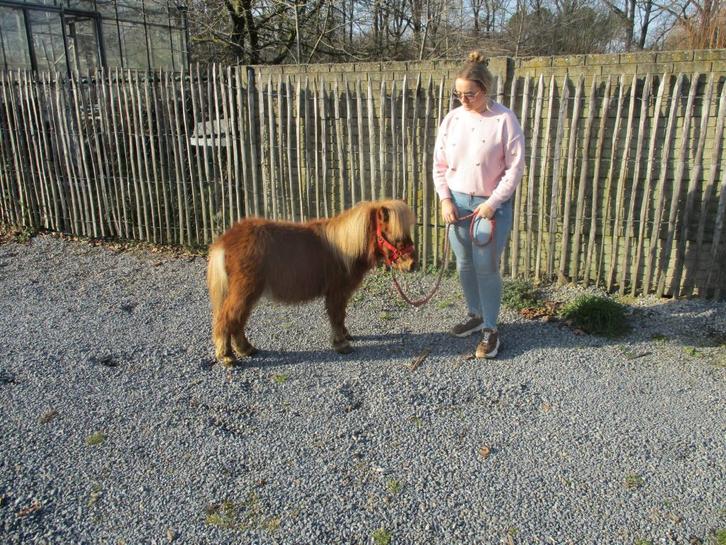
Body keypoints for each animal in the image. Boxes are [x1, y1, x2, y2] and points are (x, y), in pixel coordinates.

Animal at [207, 199, 416, 365]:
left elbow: (341, 317)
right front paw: (341, 344)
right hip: (245, 291)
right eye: (397, 237)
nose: (412, 264)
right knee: (227, 318)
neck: (345, 249)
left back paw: (245, 349)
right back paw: (227, 356)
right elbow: (337, 316)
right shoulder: (336, 292)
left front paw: (345, 335)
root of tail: (225, 240)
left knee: (238, 319)